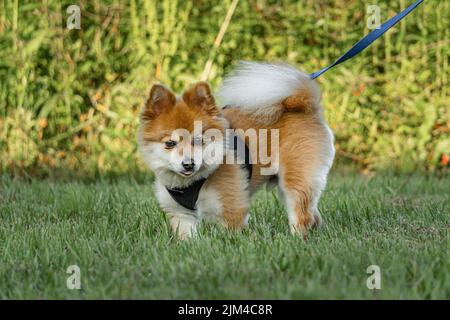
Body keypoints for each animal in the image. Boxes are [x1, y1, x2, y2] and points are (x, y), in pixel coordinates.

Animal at [139, 62, 336, 239]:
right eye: (170, 143)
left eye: (198, 140)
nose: (188, 164)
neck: (193, 182)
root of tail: (304, 106)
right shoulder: (182, 215)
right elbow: (188, 237)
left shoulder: (232, 208)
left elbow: (231, 236)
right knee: (313, 214)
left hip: (295, 178)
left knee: (302, 215)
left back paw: (296, 238)